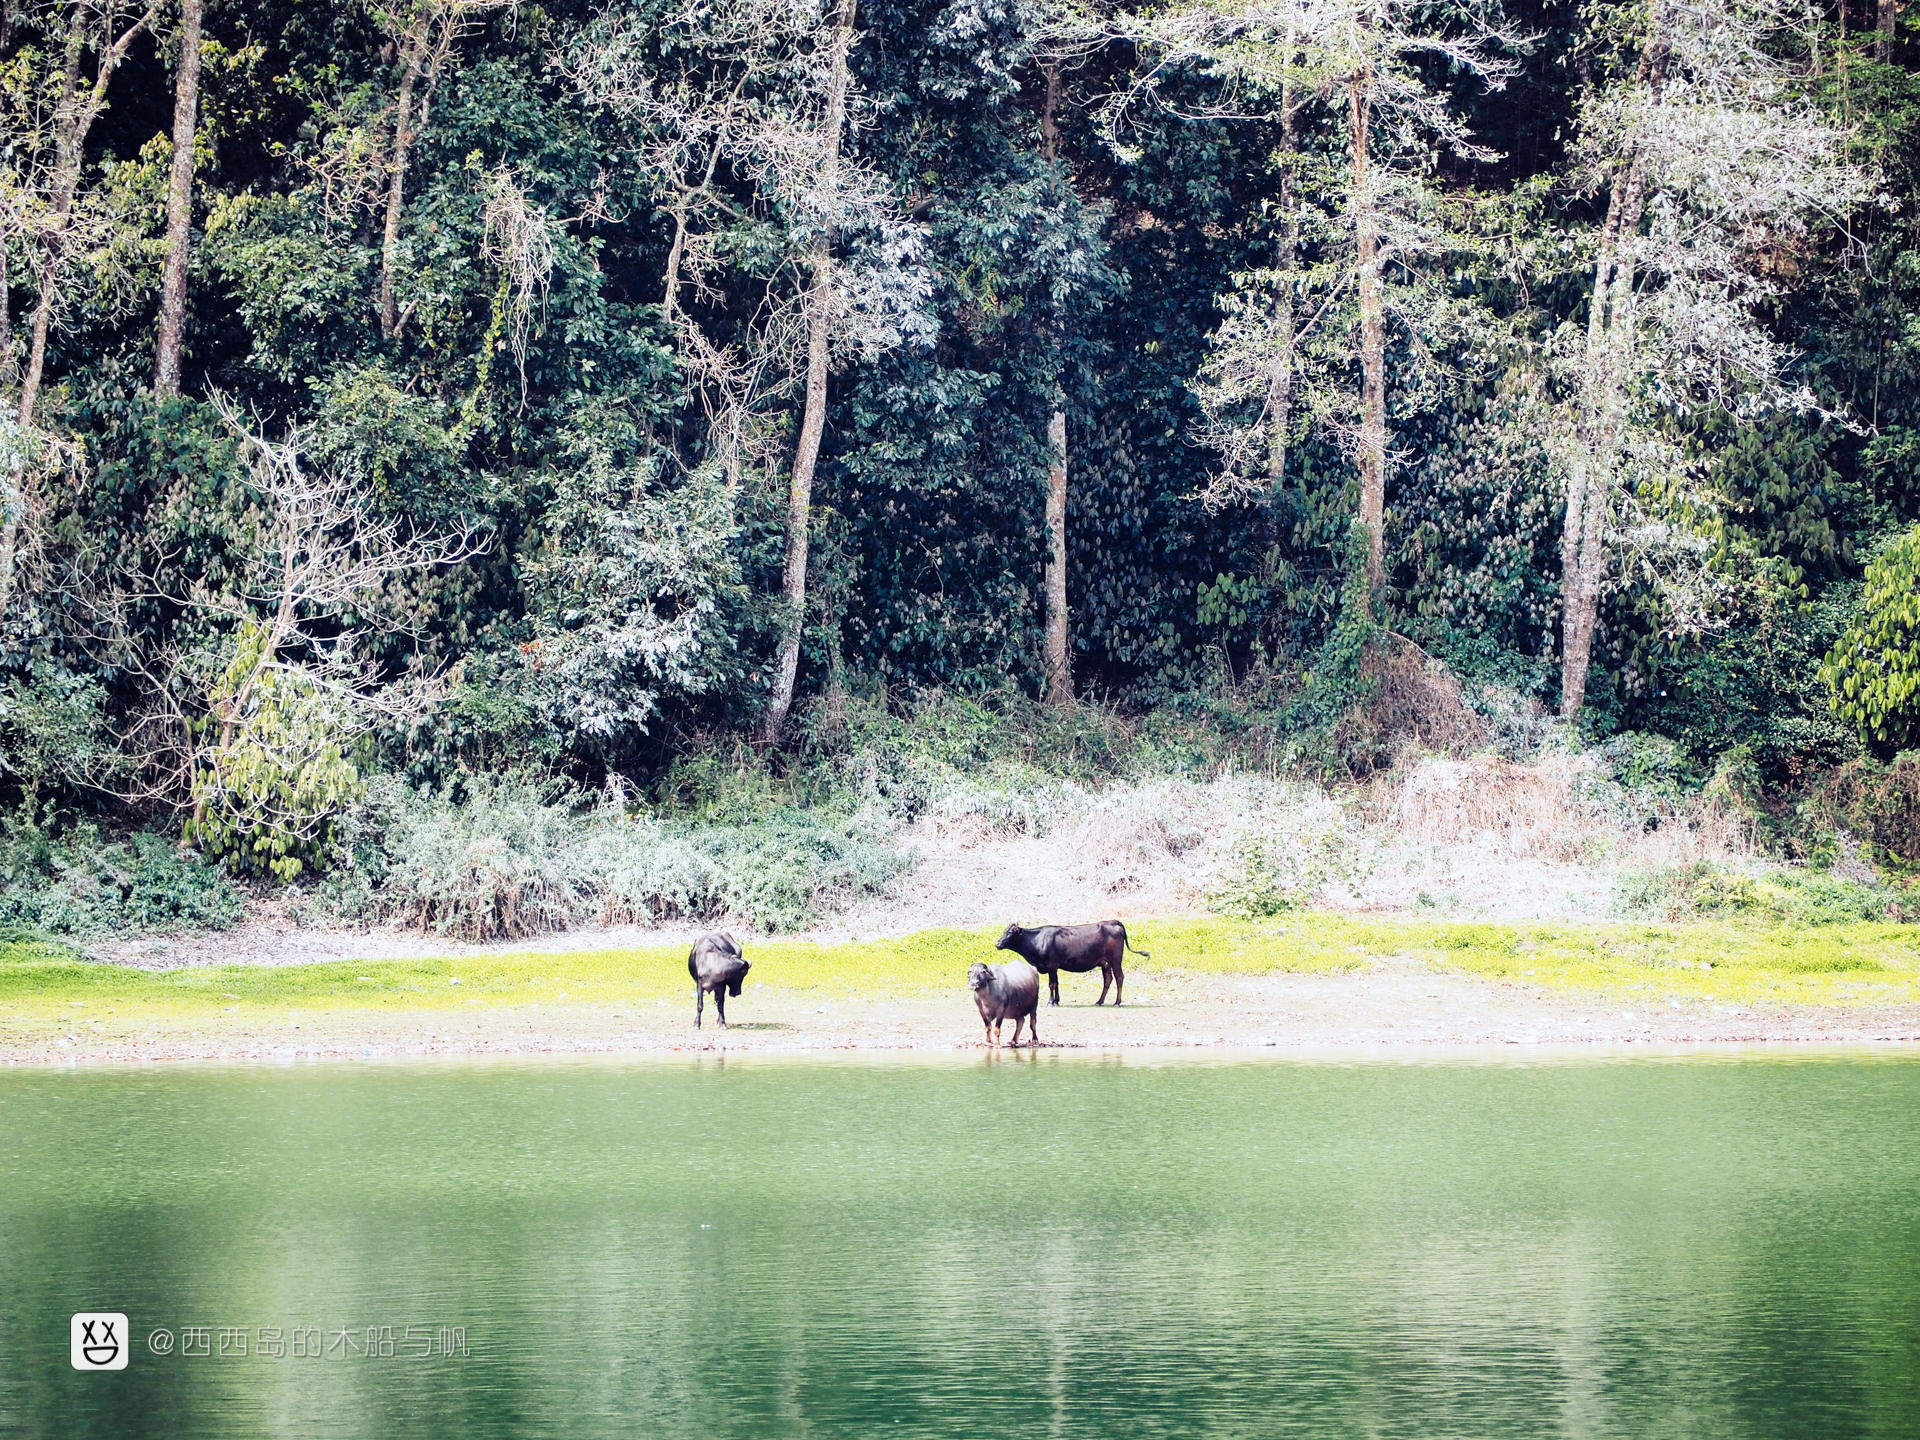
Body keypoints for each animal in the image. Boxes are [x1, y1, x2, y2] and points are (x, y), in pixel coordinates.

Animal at [998, 917, 1144, 1006]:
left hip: (1115, 959)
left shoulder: (1051, 964)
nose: (997, 944)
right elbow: (1057, 983)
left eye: (1011, 932)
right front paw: (1056, 1001)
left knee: (1119, 977)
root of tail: (1113, 921)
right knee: (1108, 980)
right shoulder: (1054, 966)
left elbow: (1051, 984)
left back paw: (1117, 1002)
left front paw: (1050, 1002)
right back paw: (1099, 1001)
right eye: (1004, 931)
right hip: (1105, 963)